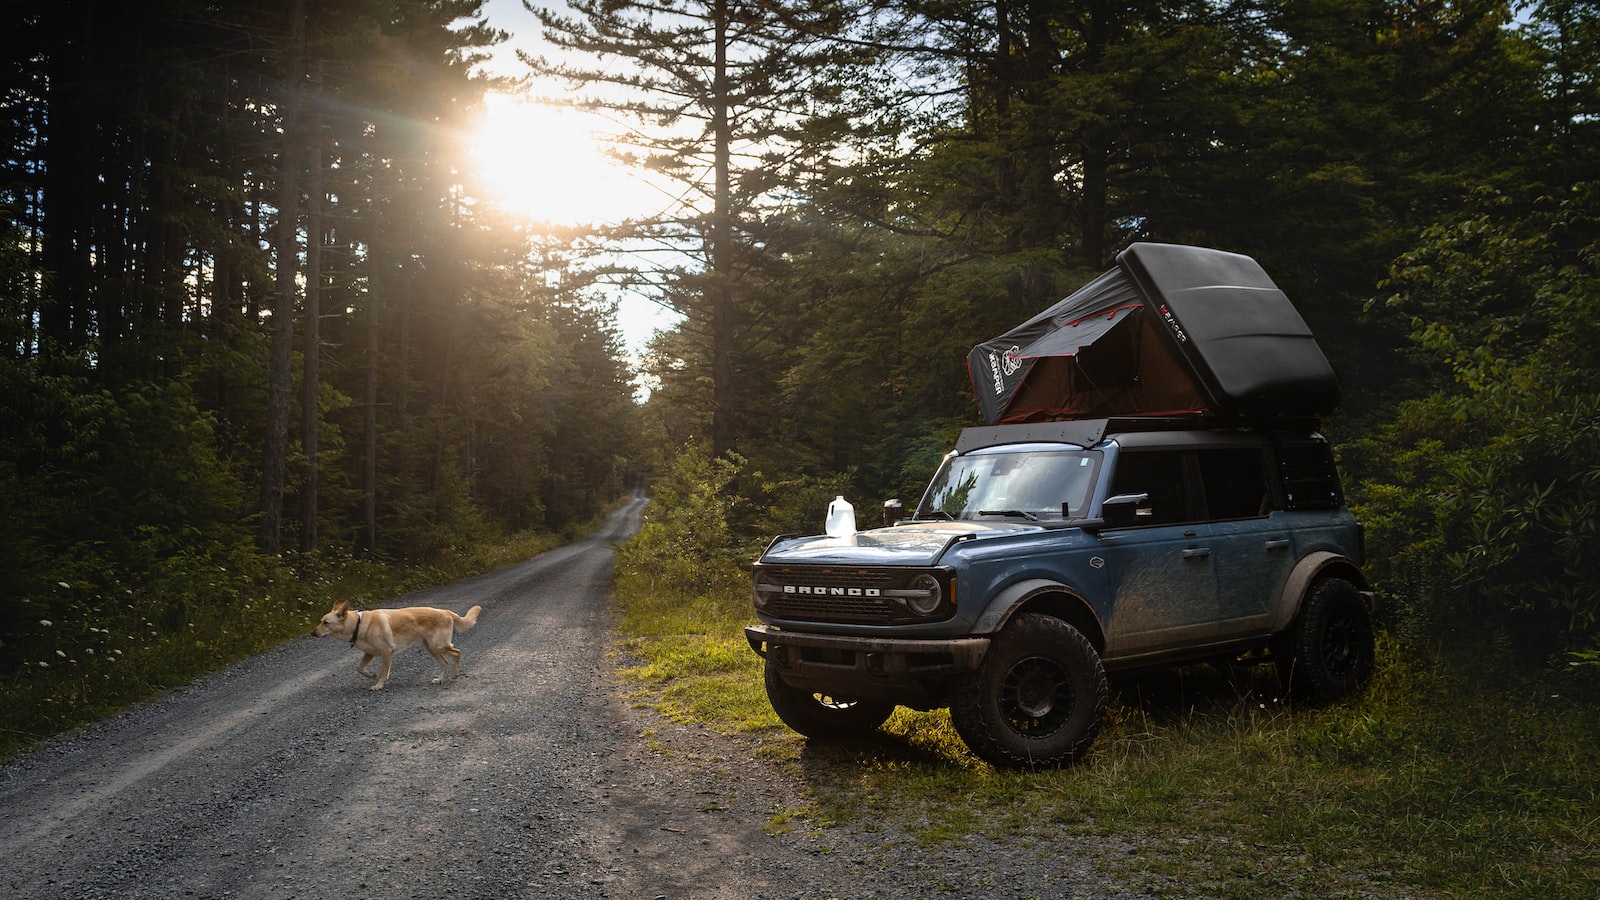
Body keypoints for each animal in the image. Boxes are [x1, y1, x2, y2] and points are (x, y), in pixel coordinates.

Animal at [310, 595, 480, 685]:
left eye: (325, 622)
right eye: (321, 621)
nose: (312, 633)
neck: (358, 624)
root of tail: (446, 611)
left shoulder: (386, 652)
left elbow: (383, 671)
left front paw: (378, 685)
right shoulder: (370, 653)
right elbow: (359, 668)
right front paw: (370, 675)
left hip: (437, 645)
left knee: (457, 652)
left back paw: (455, 674)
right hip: (430, 647)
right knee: (445, 662)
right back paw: (439, 679)